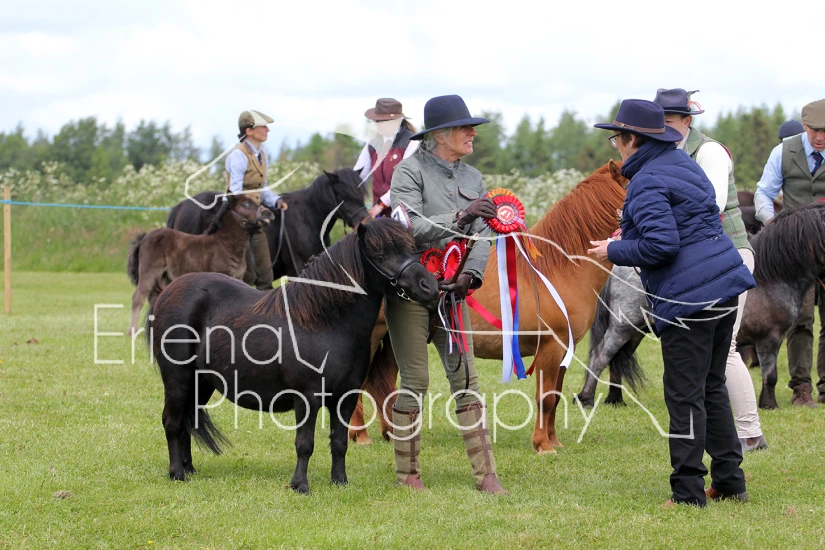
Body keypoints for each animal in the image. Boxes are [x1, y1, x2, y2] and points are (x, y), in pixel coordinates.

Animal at [127, 195, 274, 334]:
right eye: (245, 204)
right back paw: (132, 331)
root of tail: (144, 238)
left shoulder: (238, 277)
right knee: (138, 298)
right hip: (149, 271)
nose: (268, 213)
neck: (225, 245)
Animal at [148, 218, 439, 493]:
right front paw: (300, 485)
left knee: (186, 420)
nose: (430, 286)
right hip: (178, 378)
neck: (325, 324)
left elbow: (339, 442)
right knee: (172, 421)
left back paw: (189, 469)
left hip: (201, 382)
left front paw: (339, 481)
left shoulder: (345, 398)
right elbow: (304, 444)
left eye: (410, 249)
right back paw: (177, 473)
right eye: (380, 256)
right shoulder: (307, 398)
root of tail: (166, 292)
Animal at [348, 161, 629, 454]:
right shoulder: (551, 348)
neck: (556, 268)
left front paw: (553, 441)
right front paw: (542, 445)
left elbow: (555, 394)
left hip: (394, 340)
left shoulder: (564, 349)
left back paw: (392, 433)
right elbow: (545, 398)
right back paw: (361, 436)